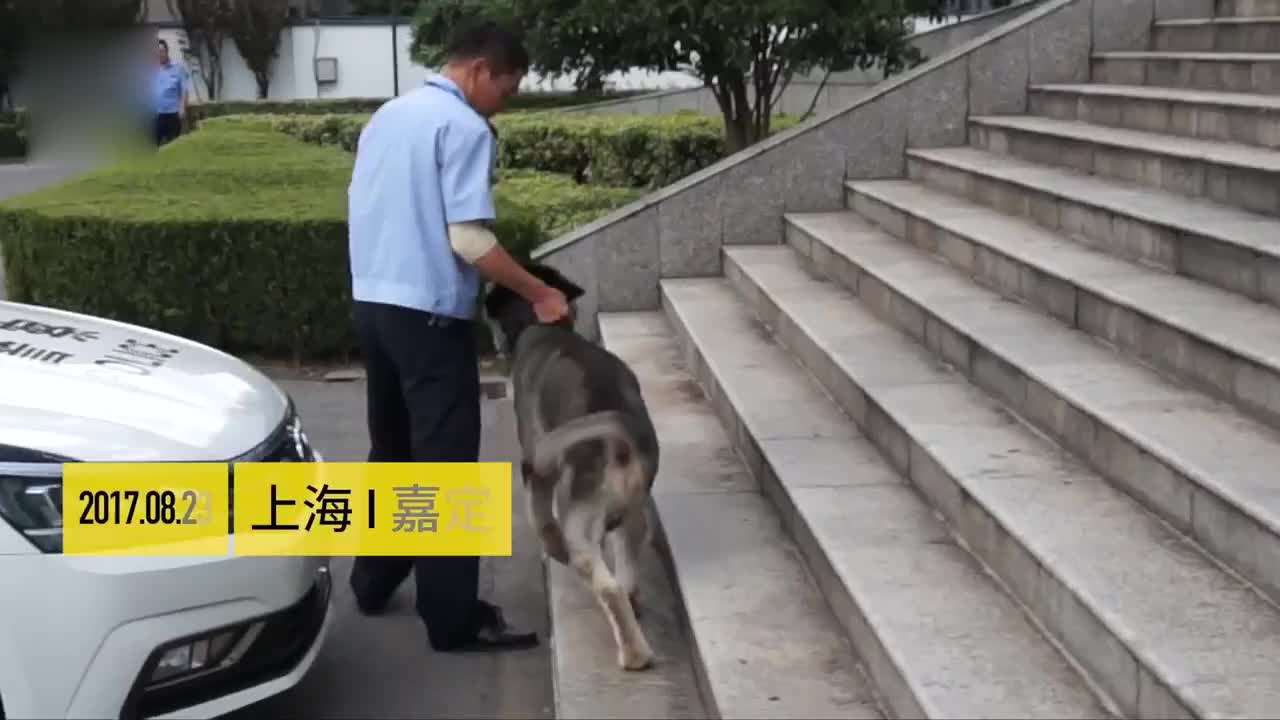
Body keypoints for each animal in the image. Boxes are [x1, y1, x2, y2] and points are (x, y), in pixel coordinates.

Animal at [484, 262, 660, 671]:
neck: (541, 326)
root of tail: (618, 433)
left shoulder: (536, 468)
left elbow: (542, 521)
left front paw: (553, 549)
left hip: (580, 515)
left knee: (607, 584)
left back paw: (635, 654)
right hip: (634, 510)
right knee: (626, 573)